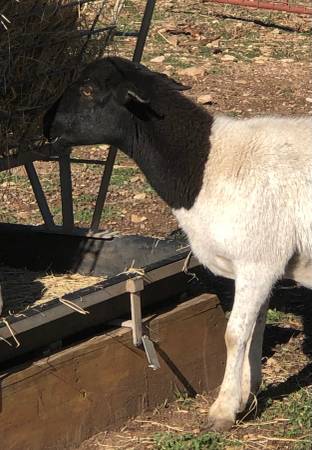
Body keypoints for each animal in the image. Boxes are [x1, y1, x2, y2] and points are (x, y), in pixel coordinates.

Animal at [43, 57, 312, 432]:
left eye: (87, 89)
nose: (44, 125)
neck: (206, 165)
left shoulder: (257, 261)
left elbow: (234, 334)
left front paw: (222, 411)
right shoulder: (263, 265)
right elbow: (254, 328)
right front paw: (246, 396)